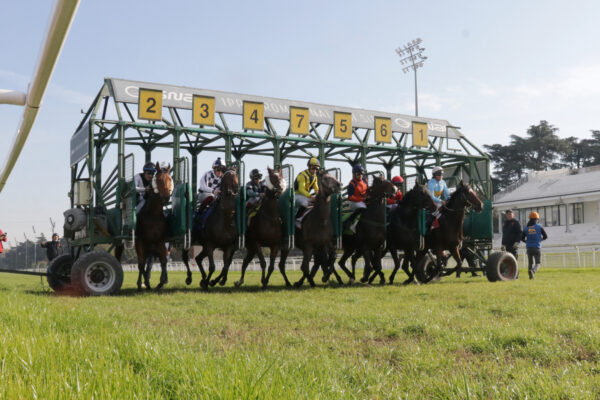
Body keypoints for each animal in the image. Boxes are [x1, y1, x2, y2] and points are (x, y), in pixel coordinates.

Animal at [134, 162, 173, 290]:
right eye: (159, 180)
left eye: (170, 179)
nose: (166, 197)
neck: (153, 214)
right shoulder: (140, 240)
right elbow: (141, 264)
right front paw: (144, 283)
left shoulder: (160, 241)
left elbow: (163, 261)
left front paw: (162, 281)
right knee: (141, 263)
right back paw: (143, 282)